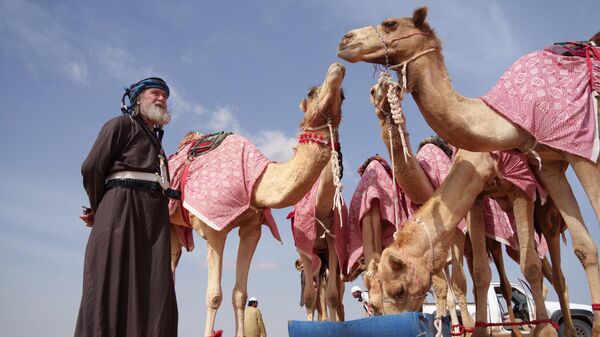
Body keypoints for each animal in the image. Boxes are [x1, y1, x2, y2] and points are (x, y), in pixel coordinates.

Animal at [169, 63, 346, 336]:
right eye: (311, 92)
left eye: (344, 96)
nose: (337, 68)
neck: (257, 181)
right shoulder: (214, 227)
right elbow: (214, 295)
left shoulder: (252, 227)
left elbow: (240, 294)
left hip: (178, 228)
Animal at [338, 7, 600, 336]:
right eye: (372, 301)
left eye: (390, 24)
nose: (346, 40)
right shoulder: (476, 199)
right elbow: (476, 274)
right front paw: (476, 329)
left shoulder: (527, 183)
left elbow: (523, 267)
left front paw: (543, 330)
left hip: (547, 211)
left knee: (552, 268)